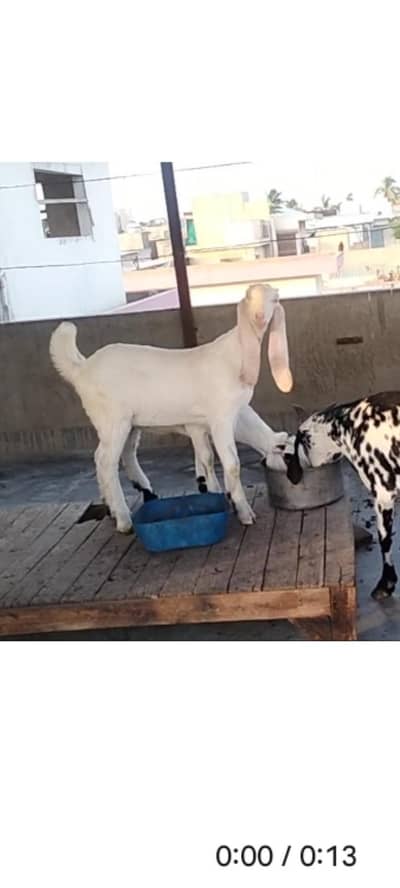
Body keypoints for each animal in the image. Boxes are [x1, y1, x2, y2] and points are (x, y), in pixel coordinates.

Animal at [50, 284, 293, 533]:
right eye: (248, 298)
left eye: (274, 299)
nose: (259, 317)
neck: (236, 355)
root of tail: (82, 369)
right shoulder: (220, 417)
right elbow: (231, 464)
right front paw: (243, 511)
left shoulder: (208, 422)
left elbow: (205, 458)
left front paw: (214, 492)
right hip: (112, 420)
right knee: (105, 461)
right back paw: (124, 519)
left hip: (129, 423)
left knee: (125, 454)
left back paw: (126, 501)